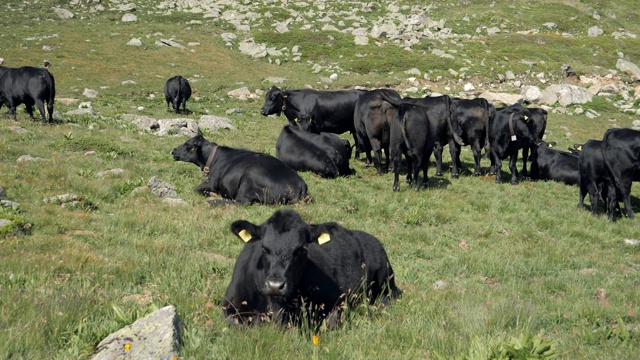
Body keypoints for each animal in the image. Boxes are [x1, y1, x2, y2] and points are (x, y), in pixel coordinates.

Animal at [170, 134, 308, 205]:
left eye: (187, 145)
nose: (173, 151)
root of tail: (301, 183)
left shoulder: (212, 183)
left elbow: (196, 189)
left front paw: (210, 194)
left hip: (249, 178)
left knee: (241, 201)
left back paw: (215, 201)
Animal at [221, 208, 400, 330]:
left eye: (300, 249)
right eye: (264, 247)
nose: (275, 286)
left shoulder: (337, 301)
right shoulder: (230, 305)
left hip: (386, 279)